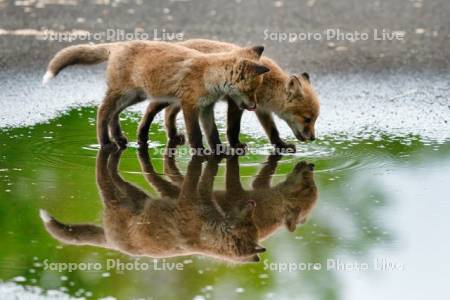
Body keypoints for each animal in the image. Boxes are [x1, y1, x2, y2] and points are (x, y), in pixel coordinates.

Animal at [39, 149, 264, 264]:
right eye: (250, 223)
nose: (253, 202)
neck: (206, 232)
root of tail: (112, 244)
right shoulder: (190, 197)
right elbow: (203, 177)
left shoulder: (202, 199)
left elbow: (205, 179)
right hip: (120, 196)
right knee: (104, 177)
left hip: (133, 194)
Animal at [42, 40, 268, 150]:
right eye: (251, 90)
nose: (254, 106)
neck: (207, 76)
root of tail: (117, 44)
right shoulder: (189, 105)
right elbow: (195, 133)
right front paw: (200, 152)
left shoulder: (205, 108)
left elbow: (212, 134)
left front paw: (219, 152)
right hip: (123, 93)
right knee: (102, 112)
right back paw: (105, 143)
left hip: (135, 96)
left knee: (114, 114)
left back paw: (120, 139)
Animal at [137, 38, 320, 151]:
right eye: (307, 119)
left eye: (314, 119)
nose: (313, 138)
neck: (267, 84)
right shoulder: (237, 102)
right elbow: (233, 128)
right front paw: (235, 145)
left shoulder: (261, 109)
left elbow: (273, 131)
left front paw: (281, 146)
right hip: (170, 98)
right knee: (151, 109)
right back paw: (142, 136)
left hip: (182, 99)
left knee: (169, 114)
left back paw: (173, 136)